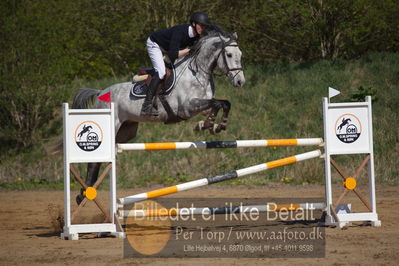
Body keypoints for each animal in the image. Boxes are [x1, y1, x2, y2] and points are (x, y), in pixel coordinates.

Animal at [73, 30, 245, 204]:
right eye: (229, 54)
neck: (198, 73)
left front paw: (213, 125)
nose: (240, 81)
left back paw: (86, 192)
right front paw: (209, 124)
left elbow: (223, 104)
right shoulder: (187, 108)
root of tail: (100, 93)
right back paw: (83, 195)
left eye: (240, 54)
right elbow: (216, 103)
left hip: (126, 131)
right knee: (94, 161)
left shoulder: (201, 107)